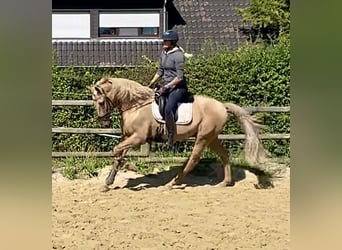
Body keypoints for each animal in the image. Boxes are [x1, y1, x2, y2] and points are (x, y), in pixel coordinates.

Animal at [89, 77, 272, 190]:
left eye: (101, 101)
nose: (104, 122)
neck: (136, 106)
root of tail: (222, 106)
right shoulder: (128, 137)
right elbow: (118, 153)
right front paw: (108, 182)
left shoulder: (138, 138)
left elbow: (116, 151)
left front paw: (127, 168)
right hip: (212, 137)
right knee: (224, 155)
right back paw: (224, 183)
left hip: (203, 137)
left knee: (193, 160)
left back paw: (172, 183)